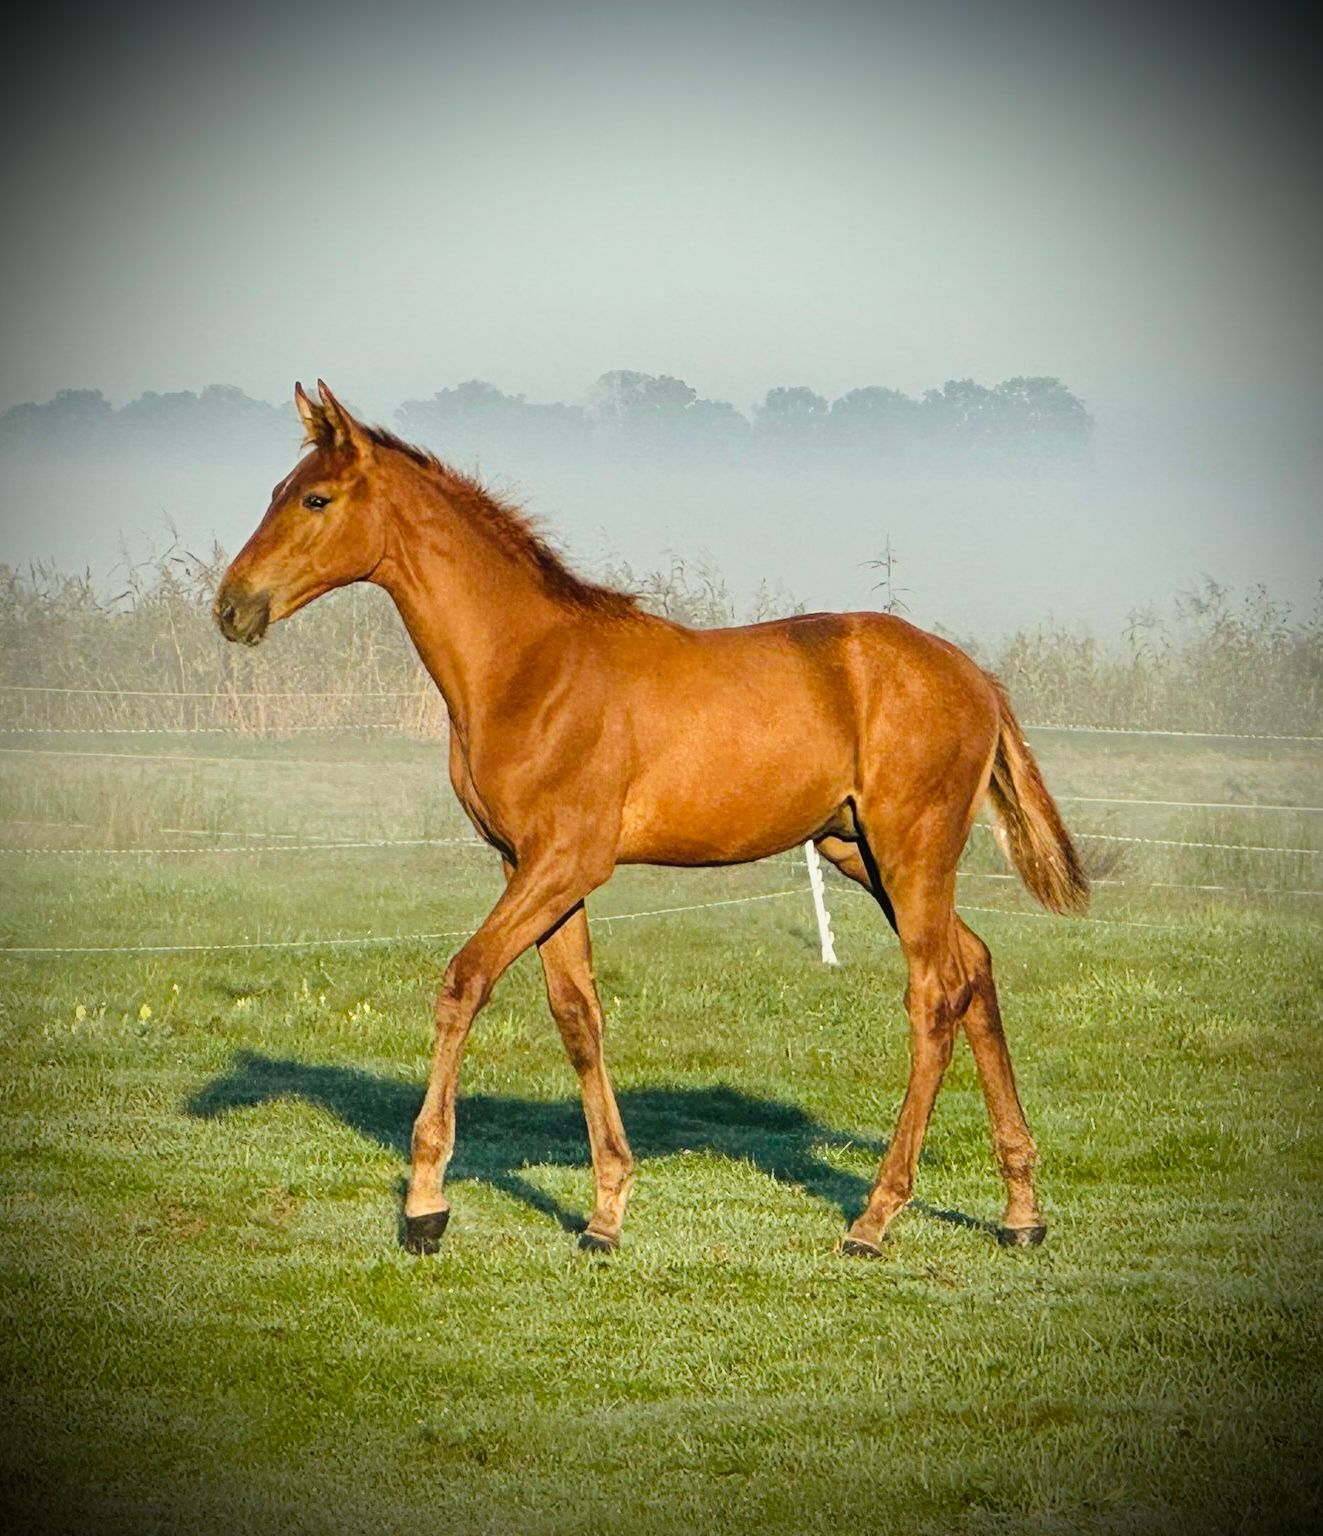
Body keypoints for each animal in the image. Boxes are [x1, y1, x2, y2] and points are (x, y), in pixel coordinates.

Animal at [215, 380, 1088, 1258]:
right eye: (276, 491)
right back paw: (1021, 1210)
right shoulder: (529, 864)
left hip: (910, 850)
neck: (528, 667)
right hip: (862, 854)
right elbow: (577, 1015)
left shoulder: (565, 860)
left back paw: (874, 1218)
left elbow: (464, 982)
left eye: (316, 499)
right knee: (973, 969)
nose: (231, 607)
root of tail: (976, 677)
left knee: (934, 994)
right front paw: (605, 1212)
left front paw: (426, 1204)